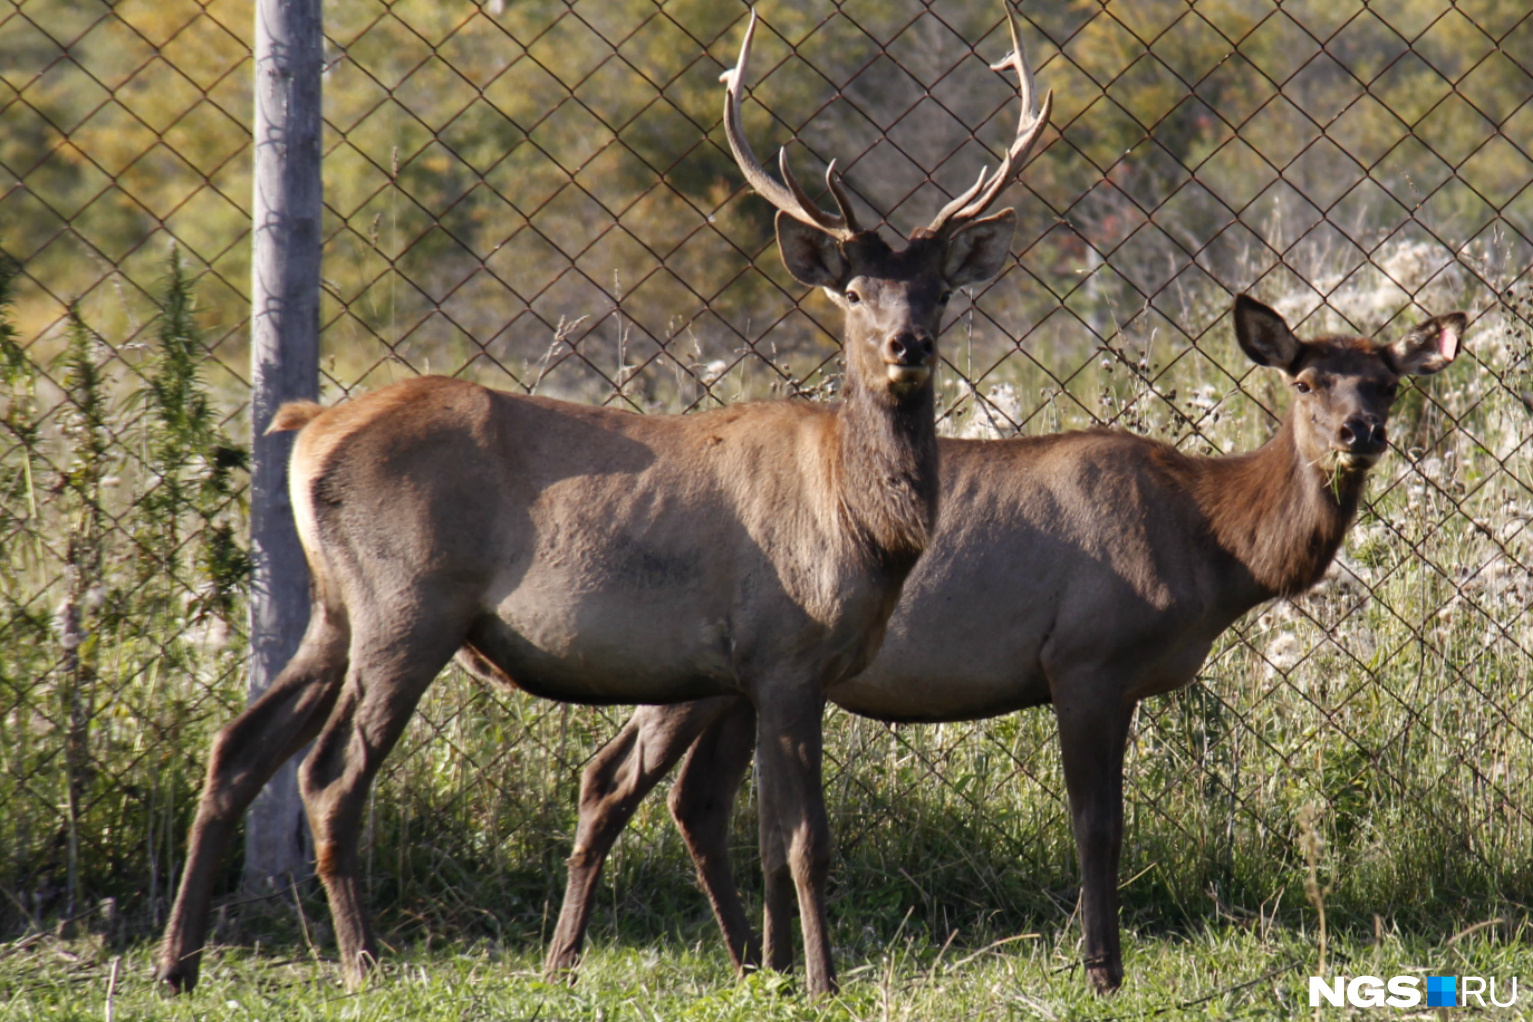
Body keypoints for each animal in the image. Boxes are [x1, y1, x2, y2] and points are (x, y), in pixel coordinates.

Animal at [154, 8, 1050, 999]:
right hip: (407, 602)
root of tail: (310, 425)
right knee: (329, 774)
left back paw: (177, 963)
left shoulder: (754, 673)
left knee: (238, 747)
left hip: (335, 606)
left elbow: (764, 838)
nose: (908, 345)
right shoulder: (784, 654)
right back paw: (363, 963)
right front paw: (821, 983)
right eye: (852, 291)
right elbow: (804, 844)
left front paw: (779, 973)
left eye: (940, 289)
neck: (862, 530)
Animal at [542, 296, 1467, 994]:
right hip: (703, 660)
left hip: (738, 678)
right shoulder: (1085, 658)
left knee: (688, 796)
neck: (1210, 544)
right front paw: (1102, 972)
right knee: (615, 779)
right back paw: (568, 962)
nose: (1358, 433)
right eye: (1305, 380)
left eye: (1384, 384)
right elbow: (1097, 824)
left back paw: (746, 966)